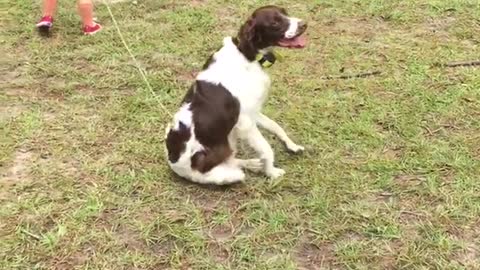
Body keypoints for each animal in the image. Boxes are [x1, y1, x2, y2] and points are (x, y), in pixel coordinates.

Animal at [165, 5, 308, 185]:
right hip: (226, 170)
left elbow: (276, 126)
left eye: (285, 13)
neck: (247, 55)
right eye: (275, 22)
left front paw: (292, 146)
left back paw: (253, 163)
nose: (304, 24)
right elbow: (267, 149)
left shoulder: (253, 112)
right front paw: (272, 172)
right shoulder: (245, 122)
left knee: (232, 159)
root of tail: (172, 161)